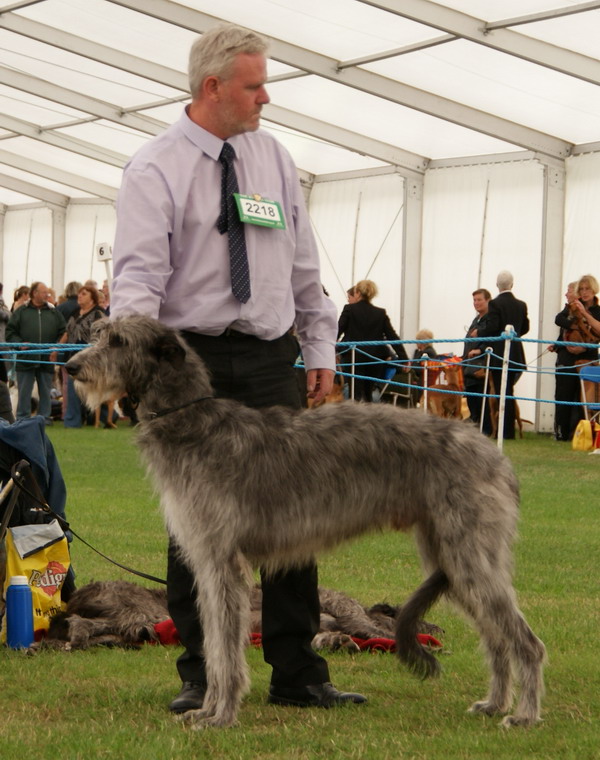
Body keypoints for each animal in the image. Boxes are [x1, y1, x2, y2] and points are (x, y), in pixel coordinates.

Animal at [65, 316, 544, 732]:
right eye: (99, 333)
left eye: (119, 341)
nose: (71, 367)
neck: (194, 423)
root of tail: (497, 457)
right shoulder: (208, 563)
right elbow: (216, 645)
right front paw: (207, 709)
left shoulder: (222, 562)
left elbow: (225, 648)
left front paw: (221, 716)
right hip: (453, 556)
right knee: (496, 638)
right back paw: (494, 703)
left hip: (469, 553)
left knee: (525, 642)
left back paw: (523, 714)